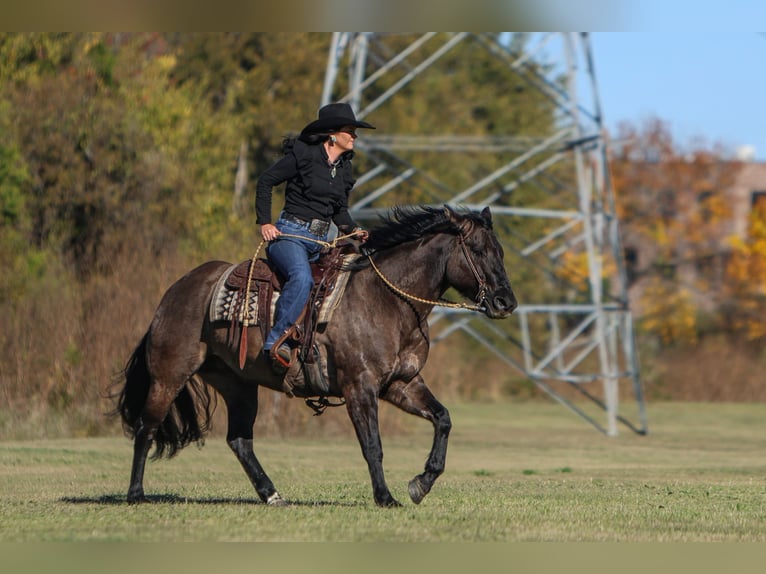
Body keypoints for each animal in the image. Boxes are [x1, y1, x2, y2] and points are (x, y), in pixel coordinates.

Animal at [114, 204, 520, 508]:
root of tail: (175, 291)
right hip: (169, 374)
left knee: (239, 440)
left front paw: (421, 483)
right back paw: (136, 494)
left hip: (238, 384)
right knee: (146, 427)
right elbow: (373, 446)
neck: (385, 299)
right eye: (478, 250)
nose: (506, 302)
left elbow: (443, 419)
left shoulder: (401, 383)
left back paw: (272, 495)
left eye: (500, 251)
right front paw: (385, 497)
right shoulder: (360, 388)